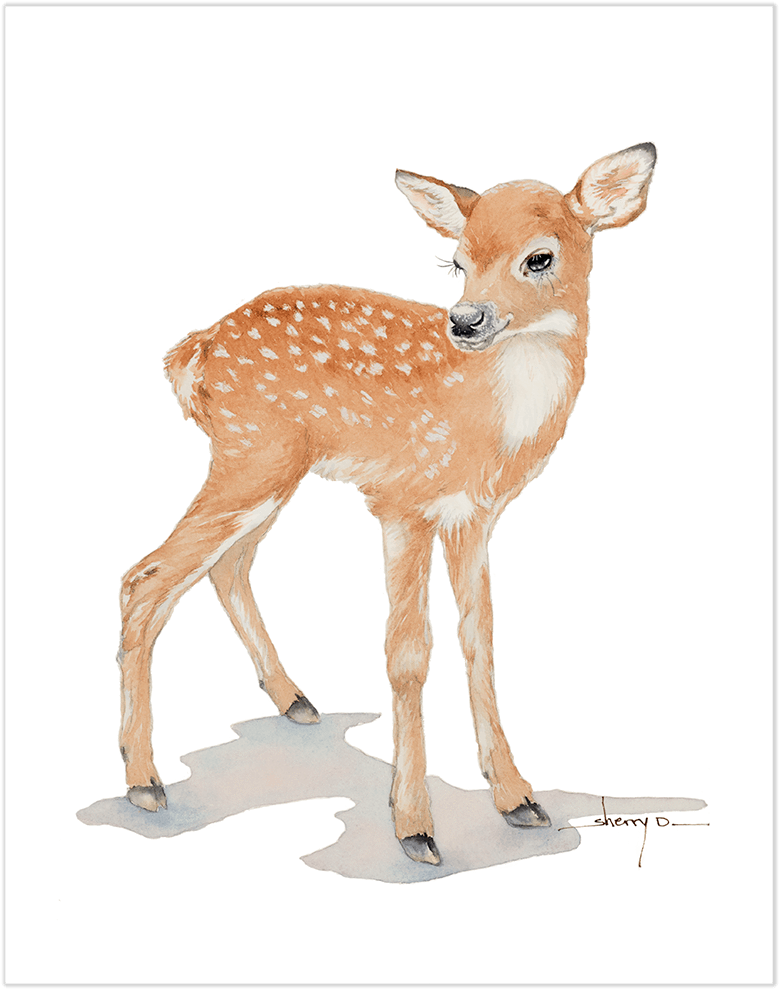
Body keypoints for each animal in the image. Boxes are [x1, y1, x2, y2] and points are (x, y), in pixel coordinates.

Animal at [118, 143, 656, 865]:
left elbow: (479, 636)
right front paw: (414, 826)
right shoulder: (401, 500)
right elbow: (407, 652)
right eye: (457, 261)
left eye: (539, 257)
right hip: (252, 456)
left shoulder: (474, 516)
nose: (464, 320)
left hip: (272, 468)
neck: (488, 418)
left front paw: (517, 796)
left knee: (224, 566)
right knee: (146, 577)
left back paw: (293, 701)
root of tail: (194, 350)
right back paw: (144, 781)